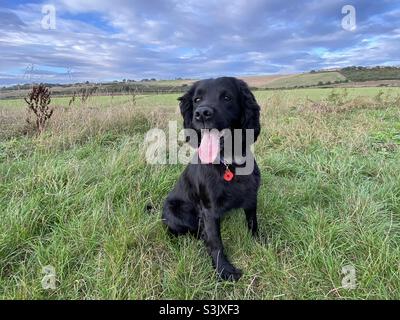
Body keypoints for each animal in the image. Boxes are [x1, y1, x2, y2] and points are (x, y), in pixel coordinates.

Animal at [161, 77, 260, 280]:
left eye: (227, 97)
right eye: (197, 100)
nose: (202, 114)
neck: (228, 163)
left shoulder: (251, 198)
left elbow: (253, 224)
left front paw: (261, 245)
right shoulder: (209, 210)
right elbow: (215, 241)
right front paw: (224, 270)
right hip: (174, 213)